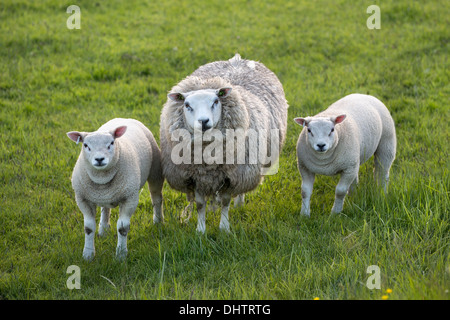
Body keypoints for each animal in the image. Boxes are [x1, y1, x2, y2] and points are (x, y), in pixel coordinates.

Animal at [66, 117, 164, 260]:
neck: (102, 178)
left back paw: (158, 221)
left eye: (111, 143)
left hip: (155, 171)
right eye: (86, 145)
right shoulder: (82, 198)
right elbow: (88, 228)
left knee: (156, 198)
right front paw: (88, 254)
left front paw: (121, 255)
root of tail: (124, 118)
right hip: (105, 195)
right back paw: (103, 230)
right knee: (105, 209)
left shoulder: (130, 198)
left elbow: (122, 228)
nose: (99, 159)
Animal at [161, 53, 288, 232]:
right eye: (187, 105)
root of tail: (237, 59)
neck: (208, 162)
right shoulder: (195, 176)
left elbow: (226, 202)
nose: (203, 121)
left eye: (215, 101)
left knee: (239, 192)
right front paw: (200, 230)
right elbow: (200, 205)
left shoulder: (232, 176)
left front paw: (224, 228)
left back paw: (239, 204)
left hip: (245, 169)